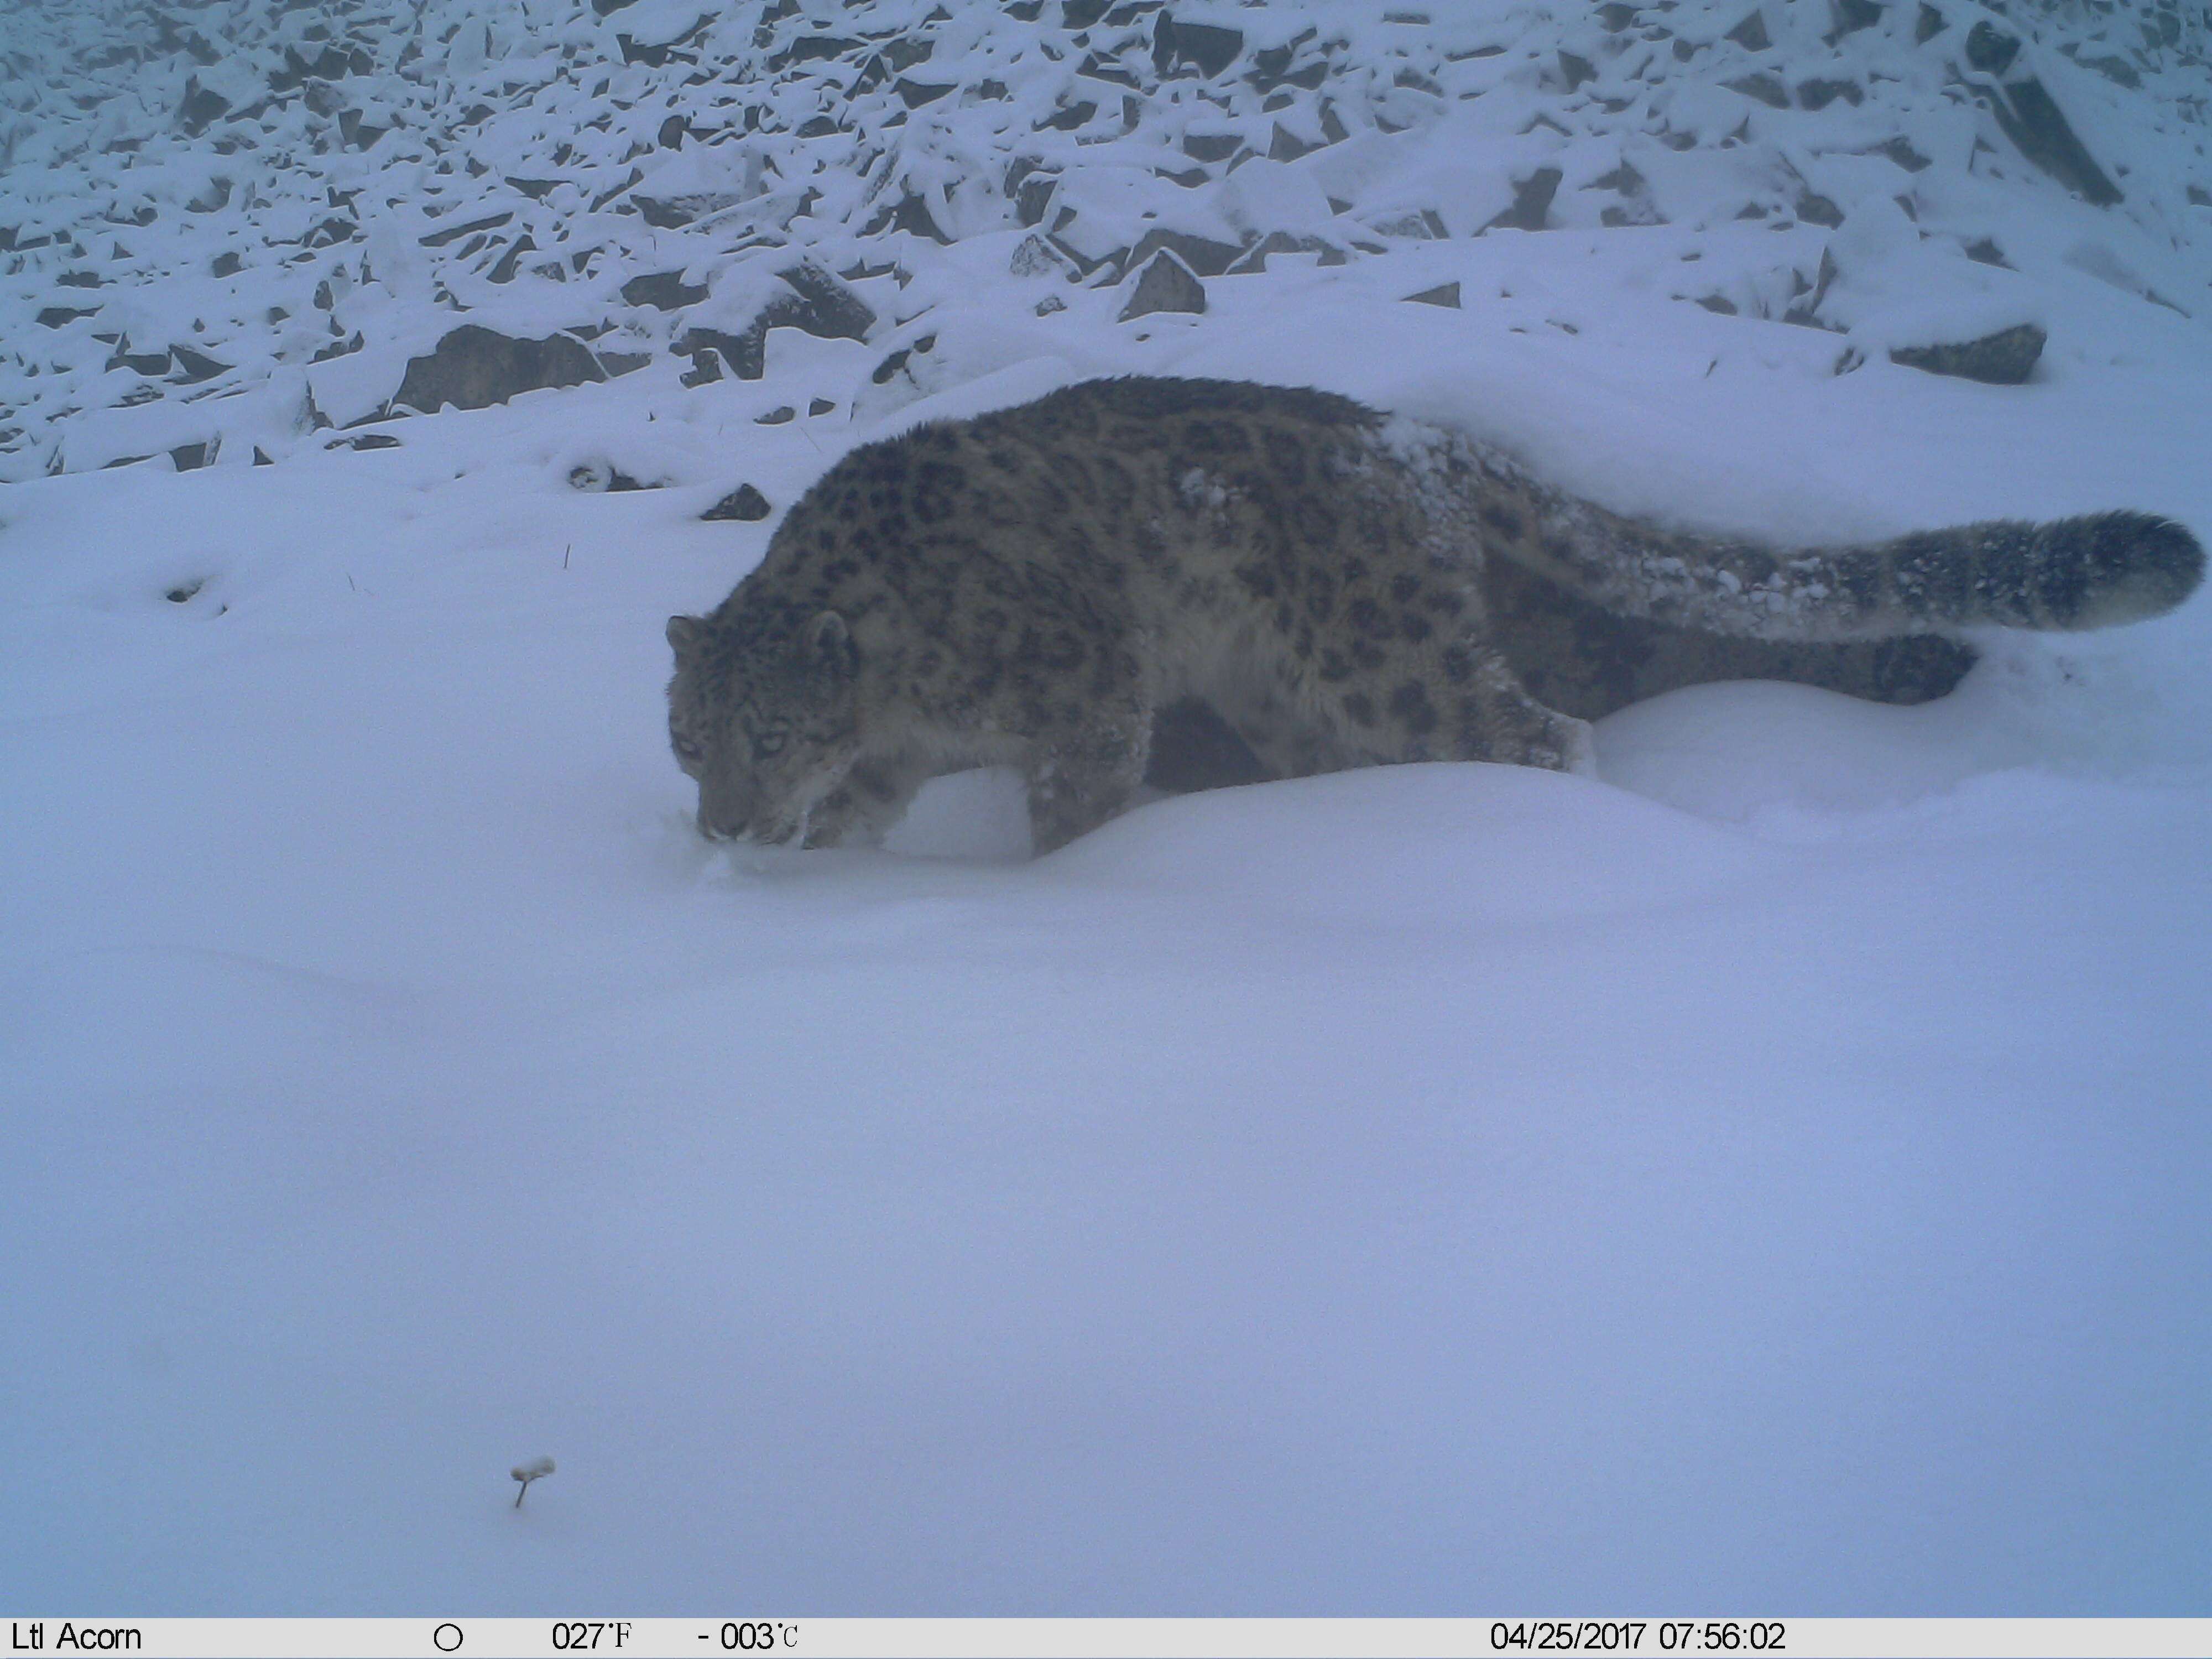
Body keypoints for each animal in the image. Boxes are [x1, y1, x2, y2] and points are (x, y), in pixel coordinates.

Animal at [664, 378, 2203, 858]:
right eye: (689, 740)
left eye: (767, 728)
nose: (723, 826)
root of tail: (1422, 441)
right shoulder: (890, 759)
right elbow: (858, 817)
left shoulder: (1086, 689)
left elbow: (1077, 813)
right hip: (1298, 695)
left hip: (1380, 662)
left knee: (1545, 732)